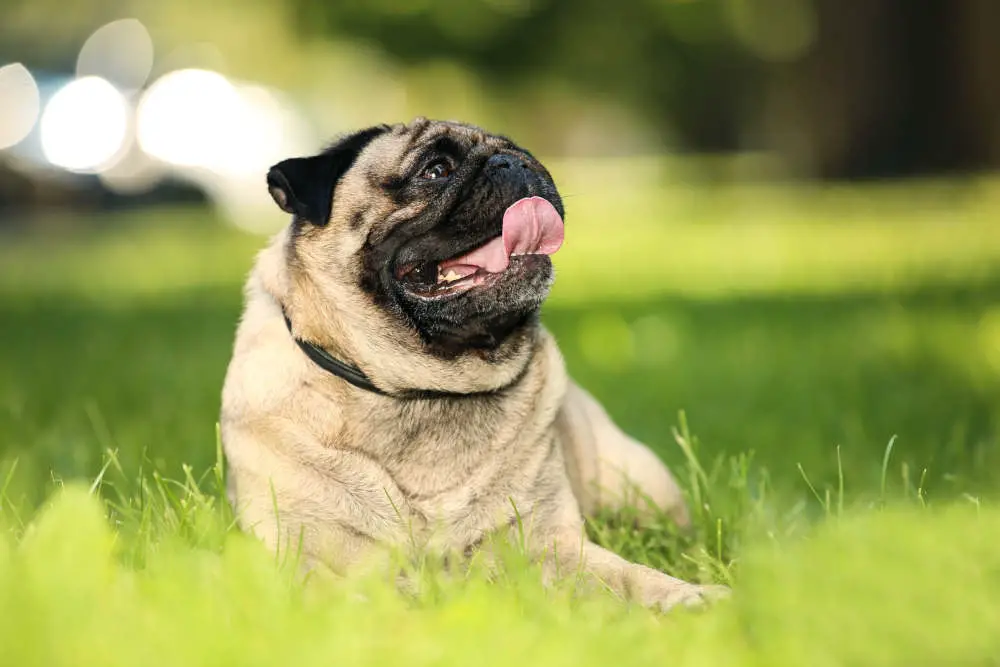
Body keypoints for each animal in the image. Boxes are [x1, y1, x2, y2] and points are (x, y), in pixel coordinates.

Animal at [221, 116, 728, 612]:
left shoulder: (551, 544)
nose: (513, 163)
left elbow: (627, 575)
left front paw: (688, 596)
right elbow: (338, 592)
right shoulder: (297, 551)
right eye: (436, 170)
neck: (426, 389)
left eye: (519, 151)